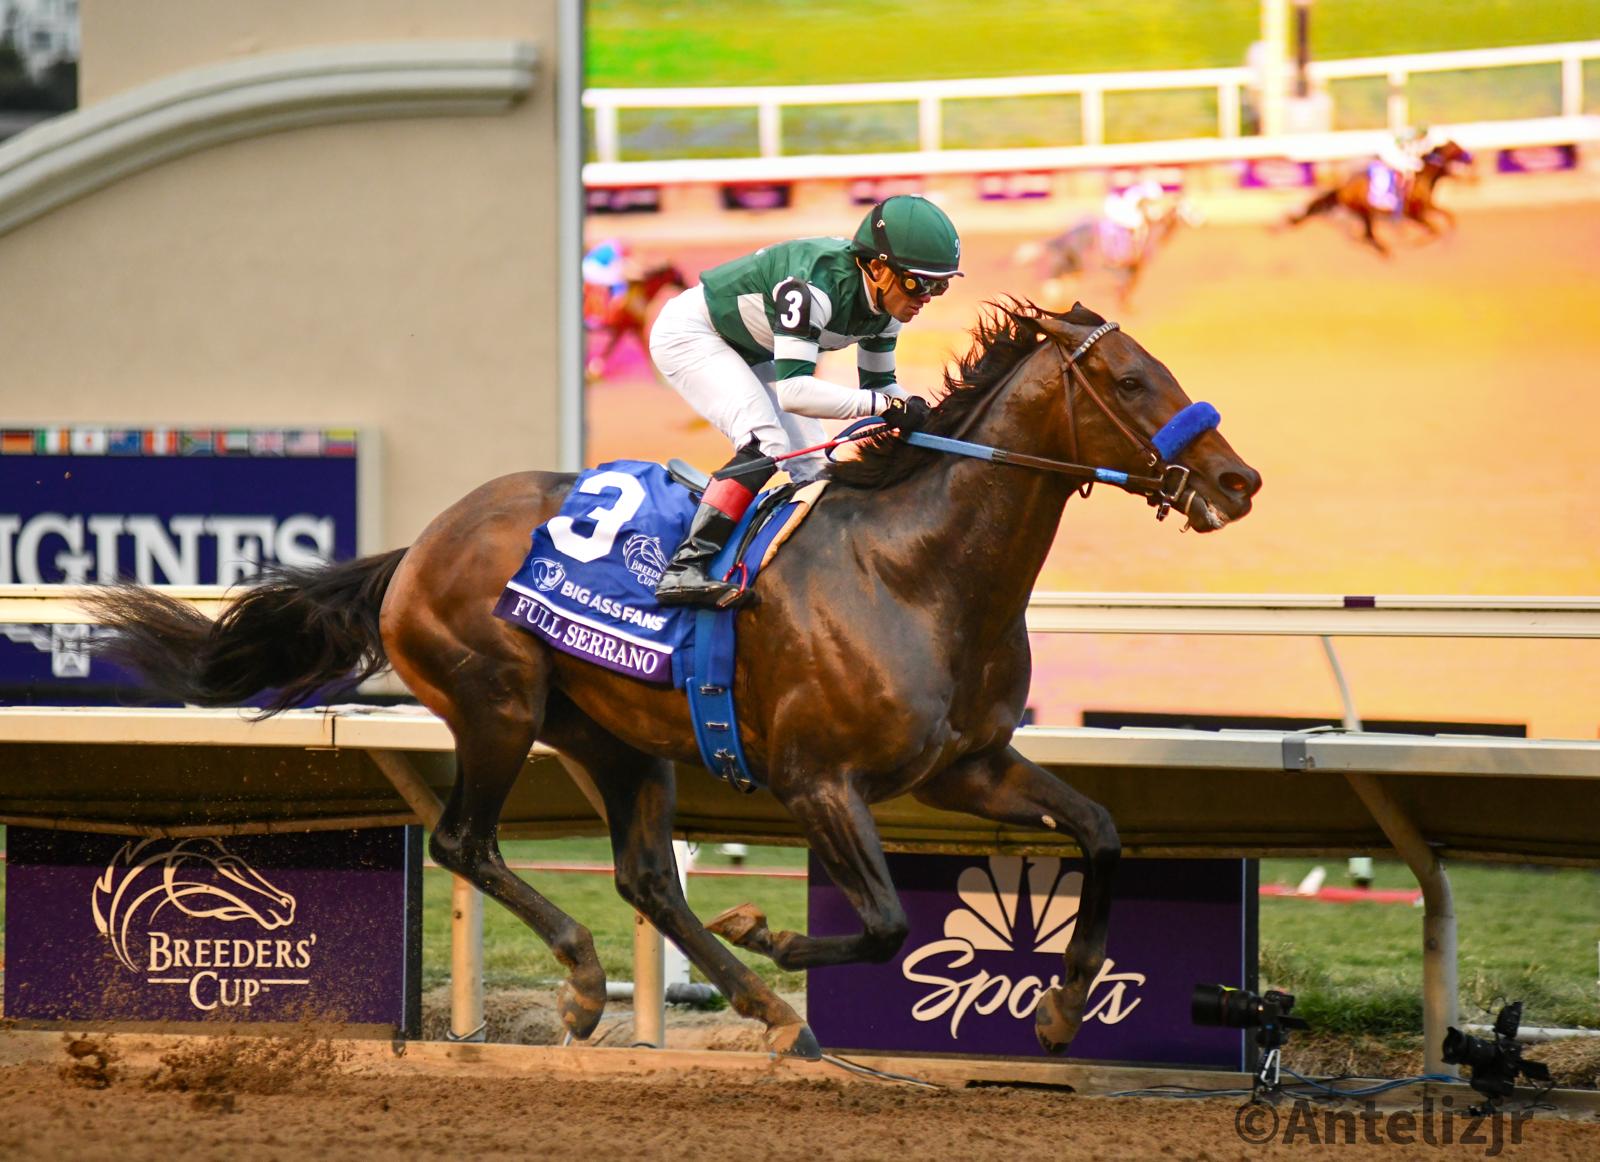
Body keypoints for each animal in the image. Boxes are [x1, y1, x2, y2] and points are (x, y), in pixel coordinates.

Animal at [87, 302, 1260, 1062]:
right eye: (1128, 380)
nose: (1238, 478)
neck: (915, 570)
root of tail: (420, 545)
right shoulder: (817, 782)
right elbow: (886, 922)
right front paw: (770, 934)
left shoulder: (967, 766)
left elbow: (1100, 832)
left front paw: (1061, 1011)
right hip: (497, 704)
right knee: (467, 841)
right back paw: (587, 987)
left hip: (617, 737)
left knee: (644, 876)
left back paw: (753, 1005)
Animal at [1286, 140, 1472, 256]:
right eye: (1456, 148)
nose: (1471, 157)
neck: (1421, 178)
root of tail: (1343, 188)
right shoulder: (1413, 214)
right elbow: (1434, 229)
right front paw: (1417, 241)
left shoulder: (1427, 206)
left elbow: (1448, 216)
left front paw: (1448, 239)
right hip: (1365, 210)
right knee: (1368, 234)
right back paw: (1385, 251)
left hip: (1363, 213)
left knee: (1365, 235)